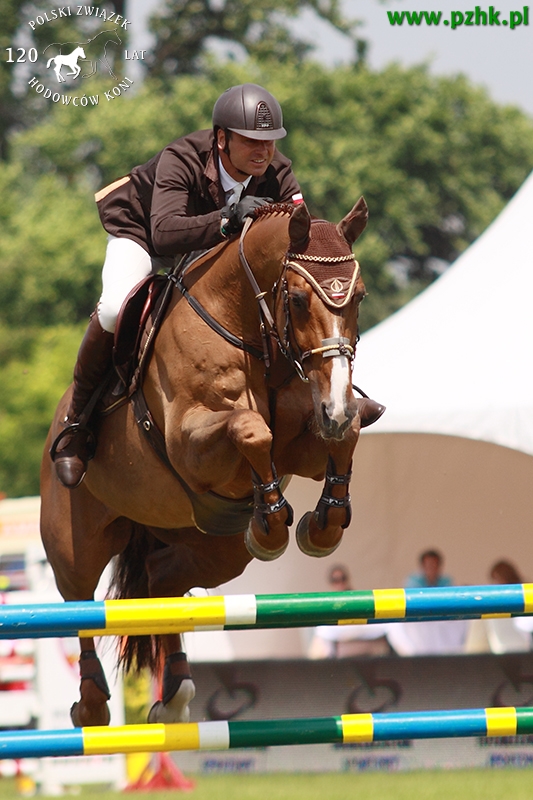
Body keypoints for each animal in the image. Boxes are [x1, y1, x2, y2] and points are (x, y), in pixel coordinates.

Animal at [40, 198, 382, 724]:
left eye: (360, 296)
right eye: (297, 300)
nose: (338, 405)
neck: (252, 330)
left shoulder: (305, 439)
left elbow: (343, 437)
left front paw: (321, 524)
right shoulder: (191, 445)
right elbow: (250, 428)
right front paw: (275, 519)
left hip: (215, 546)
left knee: (162, 578)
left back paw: (175, 691)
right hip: (73, 540)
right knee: (78, 600)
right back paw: (94, 705)